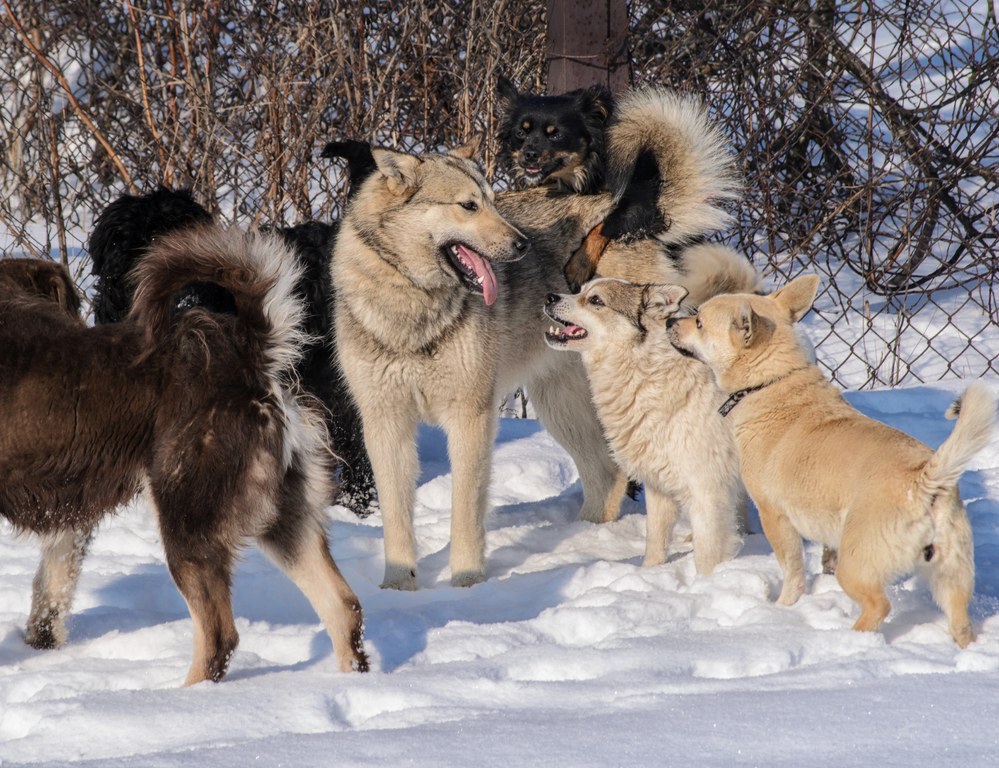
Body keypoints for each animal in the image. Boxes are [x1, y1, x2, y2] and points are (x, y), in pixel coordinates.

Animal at [0, 231, 368, 688]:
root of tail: (253, 359)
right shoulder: (71, 518)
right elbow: (49, 595)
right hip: (285, 517)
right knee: (343, 608)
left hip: (187, 519)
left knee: (219, 637)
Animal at [544, 268, 760, 568]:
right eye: (580, 291)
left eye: (596, 300)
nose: (549, 297)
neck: (645, 375)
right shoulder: (659, 488)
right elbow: (655, 543)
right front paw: (650, 572)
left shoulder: (707, 491)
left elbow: (707, 557)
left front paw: (709, 578)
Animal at [668, 276, 996, 648]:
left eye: (698, 321)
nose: (668, 322)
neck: (771, 382)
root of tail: (925, 479)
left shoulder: (774, 515)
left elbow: (792, 570)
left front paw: (784, 608)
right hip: (951, 575)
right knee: (960, 622)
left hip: (858, 566)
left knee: (879, 606)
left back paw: (850, 641)